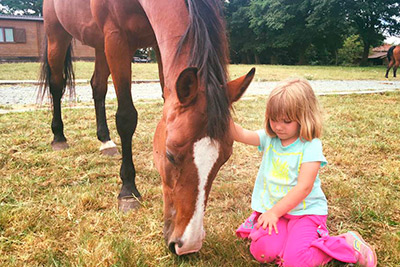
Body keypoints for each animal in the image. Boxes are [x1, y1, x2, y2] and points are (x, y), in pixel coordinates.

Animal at [39, 0, 255, 255]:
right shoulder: (116, 39)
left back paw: (105, 141)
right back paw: (59, 137)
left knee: (98, 86)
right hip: (57, 34)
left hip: (100, 45)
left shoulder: (155, 44)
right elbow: (126, 117)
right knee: (57, 83)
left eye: (224, 158)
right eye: (170, 156)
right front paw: (128, 190)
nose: (187, 245)